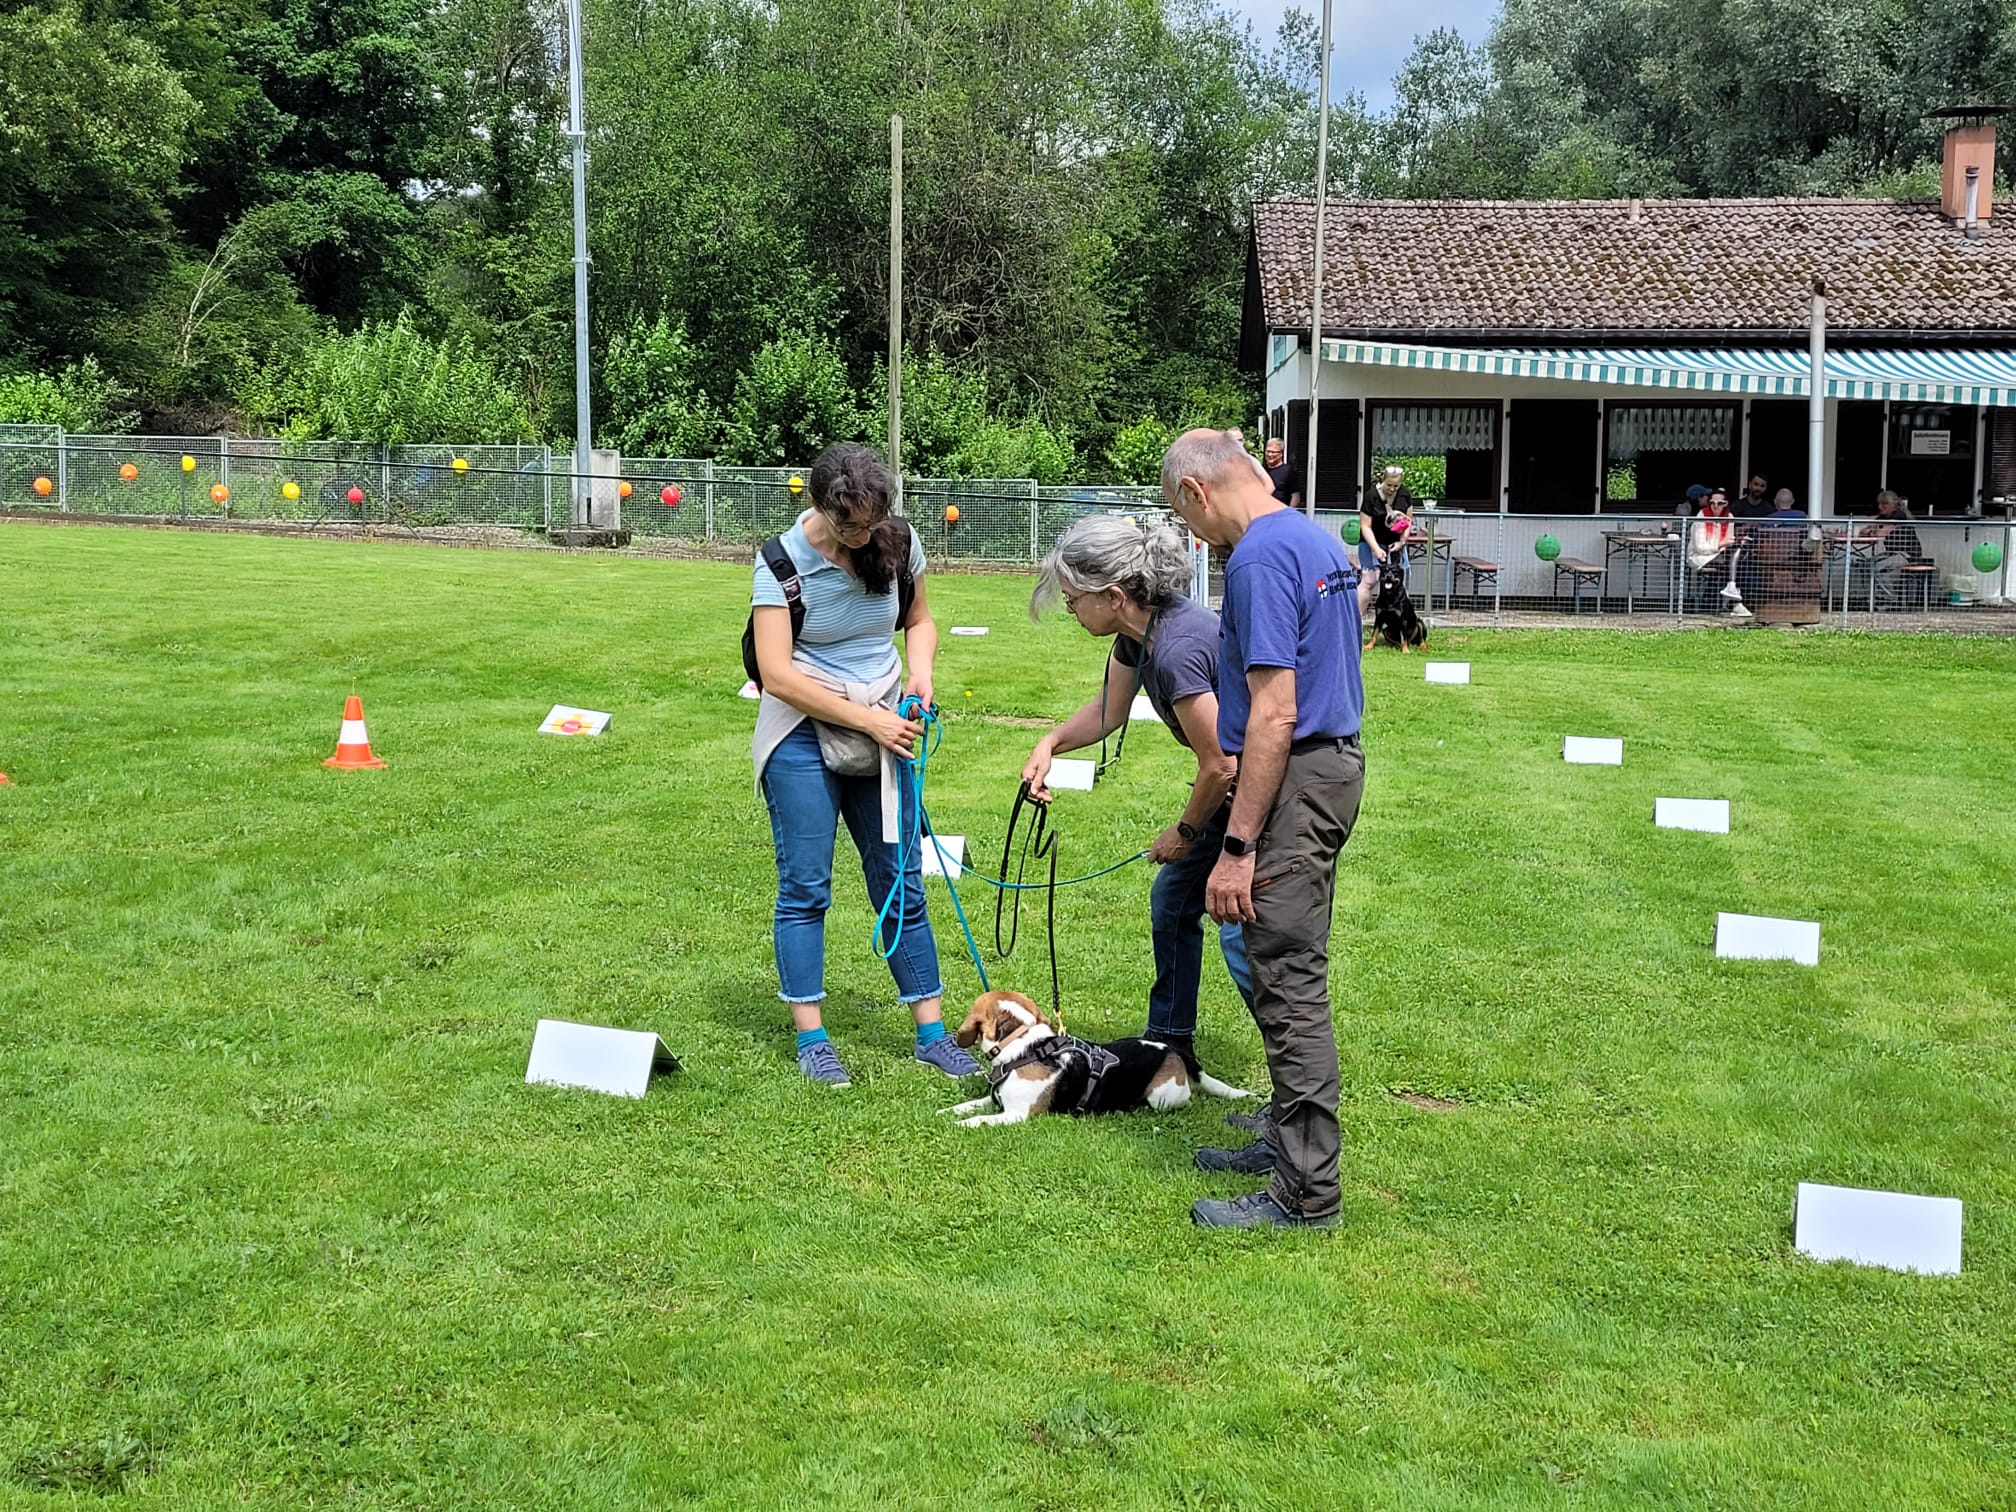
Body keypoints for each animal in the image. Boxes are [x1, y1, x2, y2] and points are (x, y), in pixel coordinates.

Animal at [939, 987, 1249, 1128]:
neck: (1025, 1046)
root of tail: (1171, 1049)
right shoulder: (996, 1100)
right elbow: (969, 1105)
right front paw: (947, 1112)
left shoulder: (1016, 1114)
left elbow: (980, 1119)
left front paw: (961, 1125)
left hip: (1163, 1098)